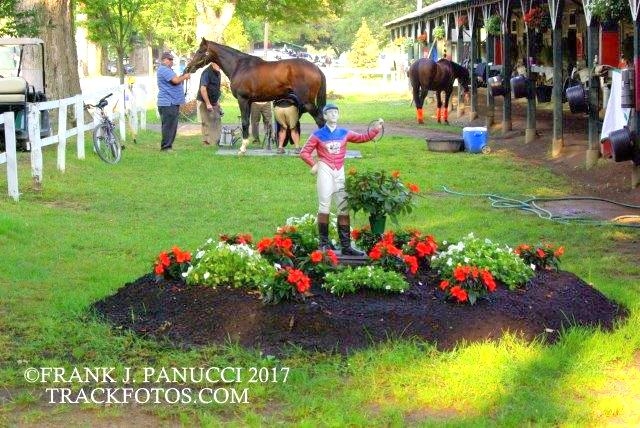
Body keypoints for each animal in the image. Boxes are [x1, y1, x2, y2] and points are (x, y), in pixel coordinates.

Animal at [184, 38, 324, 152]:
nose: (188, 68)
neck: (239, 66)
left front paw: (242, 148)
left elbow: (245, 122)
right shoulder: (250, 102)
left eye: (200, 51)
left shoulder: (243, 100)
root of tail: (317, 68)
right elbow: (248, 122)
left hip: (307, 102)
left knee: (320, 120)